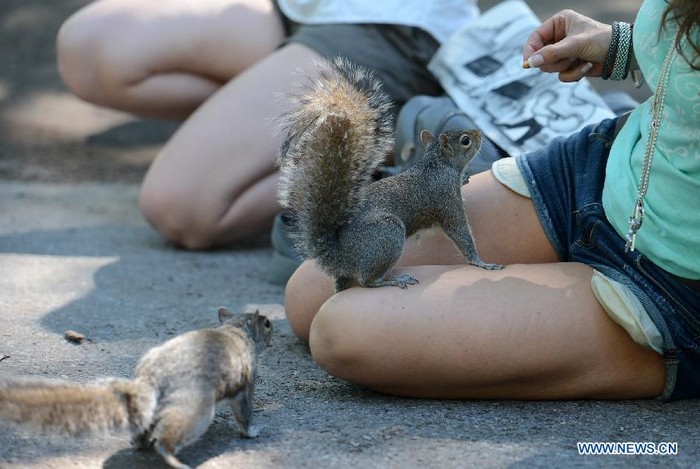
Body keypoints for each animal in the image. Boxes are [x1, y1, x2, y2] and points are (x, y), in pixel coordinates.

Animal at [0, 308, 272, 468]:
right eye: (267, 323)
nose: (274, 331)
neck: (235, 329)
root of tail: (152, 380)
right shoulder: (247, 382)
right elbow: (244, 412)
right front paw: (252, 432)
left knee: (144, 430)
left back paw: (141, 443)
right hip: (194, 408)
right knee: (168, 438)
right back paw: (174, 459)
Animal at [274, 57, 504, 292]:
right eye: (466, 140)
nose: (480, 134)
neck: (437, 164)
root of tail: (340, 255)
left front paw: (464, 178)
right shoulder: (446, 199)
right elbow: (459, 231)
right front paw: (482, 263)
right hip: (388, 235)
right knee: (367, 281)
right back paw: (394, 280)